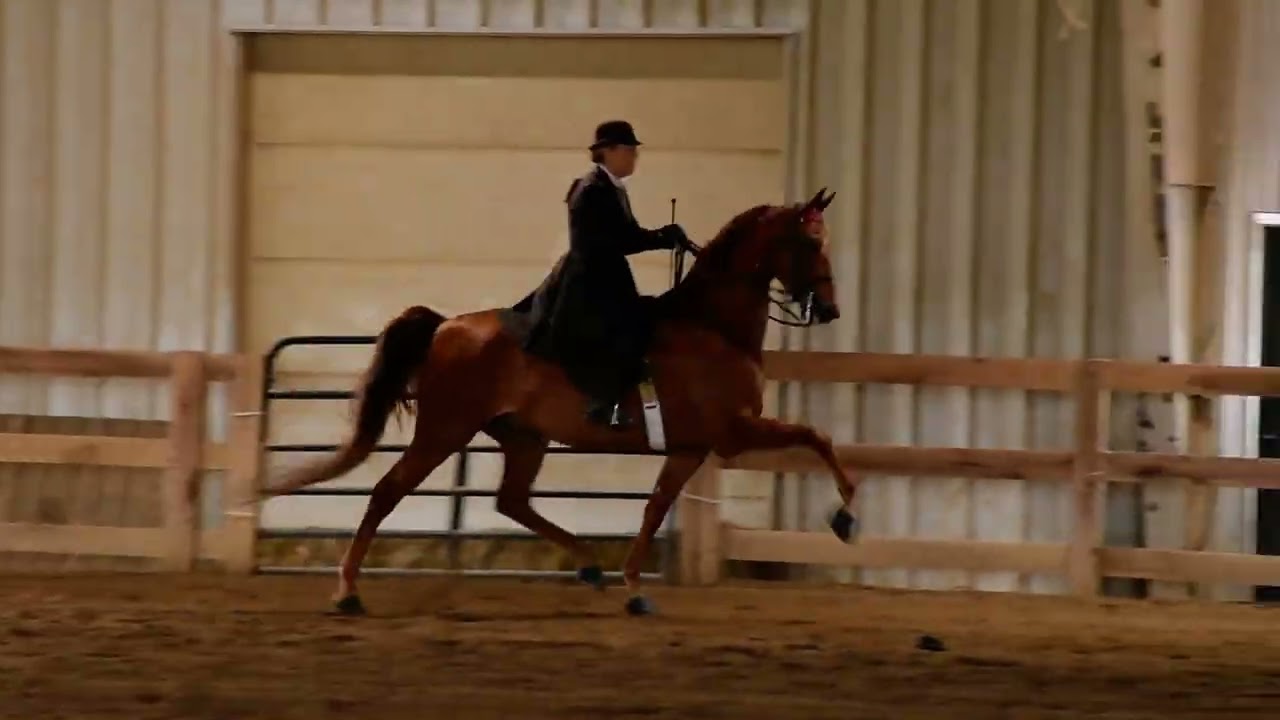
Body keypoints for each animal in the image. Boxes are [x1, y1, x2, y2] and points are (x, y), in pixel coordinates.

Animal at [261, 188, 860, 616]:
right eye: (810, 244)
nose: (829, 309)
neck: (714, 328)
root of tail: (446, 326)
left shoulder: (691, 449)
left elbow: (655, 508)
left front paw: (633, 586)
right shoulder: (733, 433)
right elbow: (816, 436)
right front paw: (846, 517)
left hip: (523, 436)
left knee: (512, 501)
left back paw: (590, 565)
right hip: (444, 431)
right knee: (388, 492)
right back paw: (346, 592)